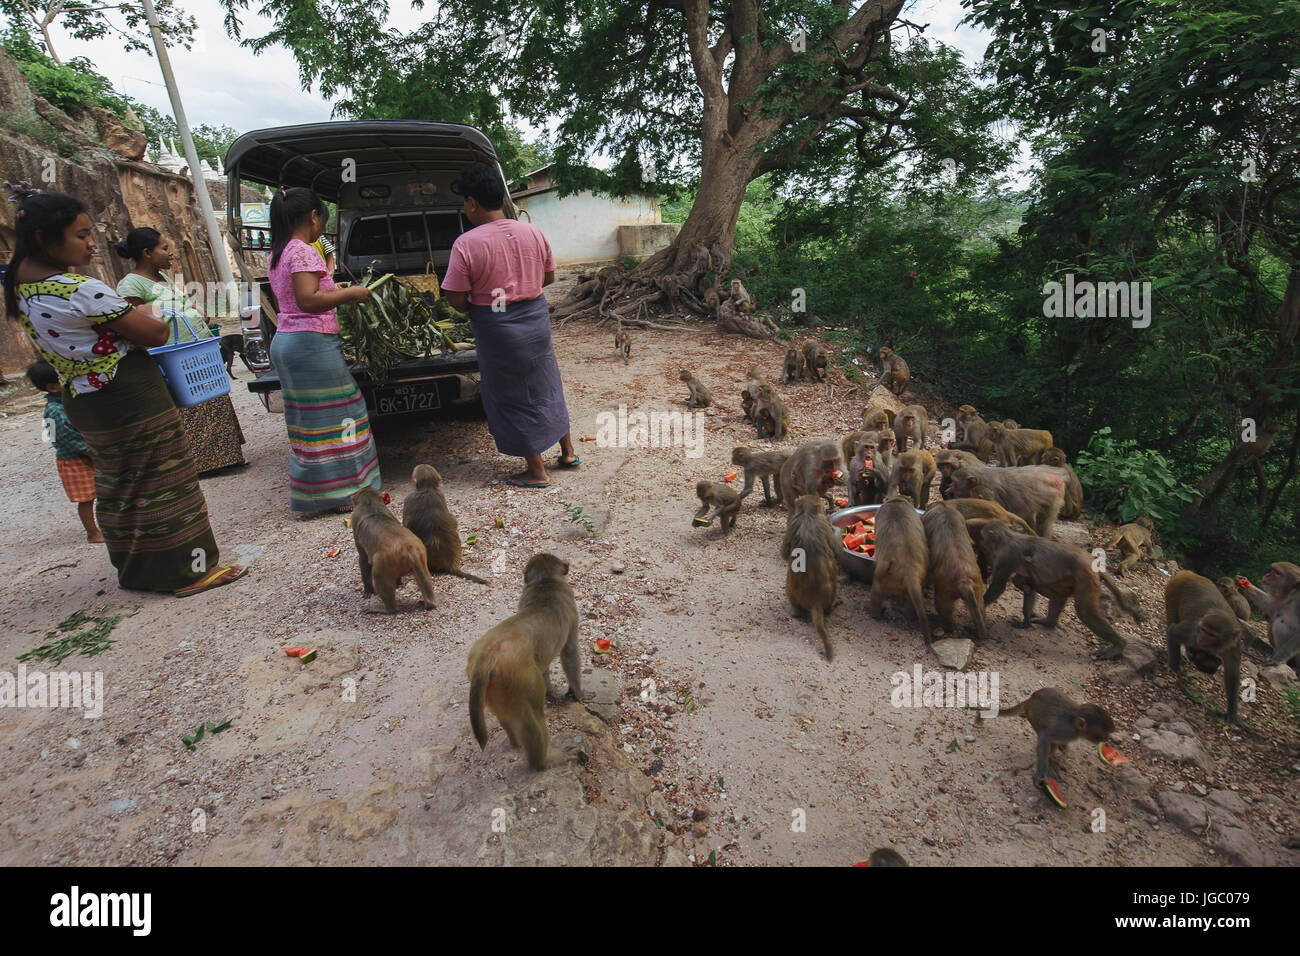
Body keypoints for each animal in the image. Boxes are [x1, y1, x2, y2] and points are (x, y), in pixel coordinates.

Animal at [462, 554, 574, 770]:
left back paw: (515, 743)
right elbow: (571, 651)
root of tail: (487, 655)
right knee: (534, 718)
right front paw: (578, 694)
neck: (546, 582)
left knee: (505, 715)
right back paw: (541, 764)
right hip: (519, 678)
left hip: (492, 684)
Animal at [982, 691, 1118, 790]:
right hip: (1033, 716)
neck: (1075, 723)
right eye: (1100, 736)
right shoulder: (1065, 730)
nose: (1106, 739)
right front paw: (1041, 774)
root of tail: (1031, 698)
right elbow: (1045, 737)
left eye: (1105, 735)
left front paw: (1063, 747)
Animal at [1164, 572, 1242, 723]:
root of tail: (1189, 574)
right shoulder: (1193, 631)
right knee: (1173, 620)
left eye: (1210, 634)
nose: (1201, 638)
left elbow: (1232, 674)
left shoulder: (1234, 646)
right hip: (1173, 590)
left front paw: (1232, 713)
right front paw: (1175, 668)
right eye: (1203, 630)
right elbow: (1173, 632)